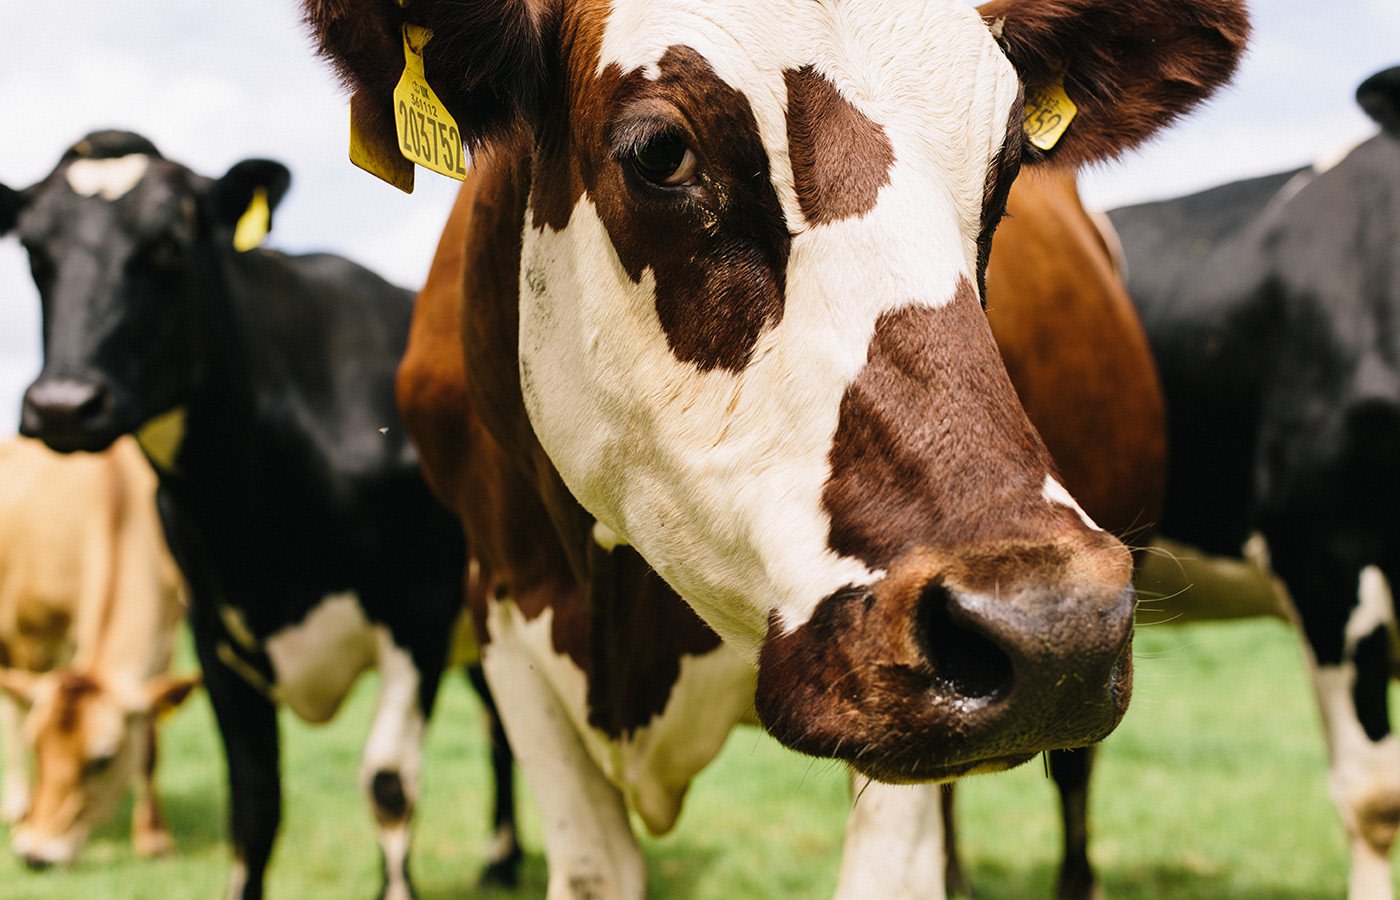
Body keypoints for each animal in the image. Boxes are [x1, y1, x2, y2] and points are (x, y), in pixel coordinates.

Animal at [0, 433, 194, 867]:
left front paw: (154, 837)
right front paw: (25, 816)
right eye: (38, 745)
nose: (36, 854)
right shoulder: (31, 634)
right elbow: (20, 715)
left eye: (102, 760)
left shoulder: (166, 635)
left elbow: (150, 741)